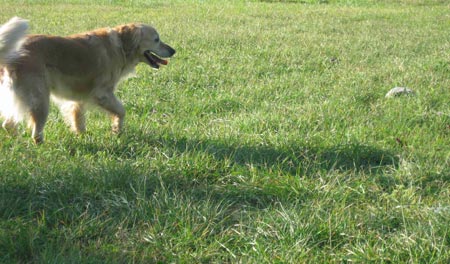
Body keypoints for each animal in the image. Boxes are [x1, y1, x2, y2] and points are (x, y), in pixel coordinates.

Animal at [0, 16, 176, 143]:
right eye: (156, 39)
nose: (173, 51)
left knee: (8, 124)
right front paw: (117, 132)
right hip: (40, 99)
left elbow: (78, 119)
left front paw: (82, 136)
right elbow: (121, 111)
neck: (121, 45)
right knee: (35, 133)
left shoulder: (78, 97)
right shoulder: (102, 93)